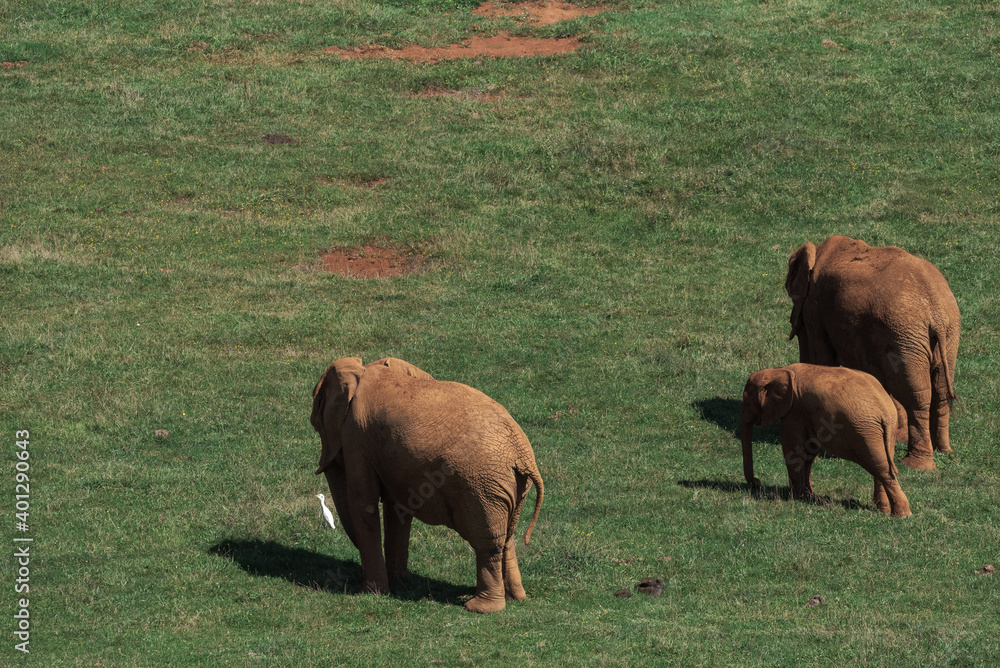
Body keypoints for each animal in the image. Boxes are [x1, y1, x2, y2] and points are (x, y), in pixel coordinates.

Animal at [310, 356, 544, 614]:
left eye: (316, 420)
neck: (364, 368)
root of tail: (522, 452)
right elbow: (396, 508)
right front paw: (400, 581)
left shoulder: (355, 438)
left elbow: (364, 503)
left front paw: (371, 593)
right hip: (509, 485)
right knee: (506, 537)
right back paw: (515, 598)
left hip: (482, 486)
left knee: (488, 542)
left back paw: (479, 607)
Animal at [741, 363, 912, 518]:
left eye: (748, 401)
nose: (757, 482)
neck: (778, 371)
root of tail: (885, 411)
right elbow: (808, 453)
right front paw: (808, 497)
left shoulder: (794, 410)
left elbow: (794, 450)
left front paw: (794, 499)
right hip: (885, 430)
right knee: (881, 463)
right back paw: (883, 511)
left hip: (866, 431)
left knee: (880, 467)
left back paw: (901, 515)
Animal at [786, 235, 960, 471]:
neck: (818, 249)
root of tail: (936, 315)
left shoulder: (815, 305)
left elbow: (819, 357)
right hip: (944, 335)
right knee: (939, 389)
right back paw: (942, 451)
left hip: (906, 336)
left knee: (917, 394)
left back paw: (915, 465)